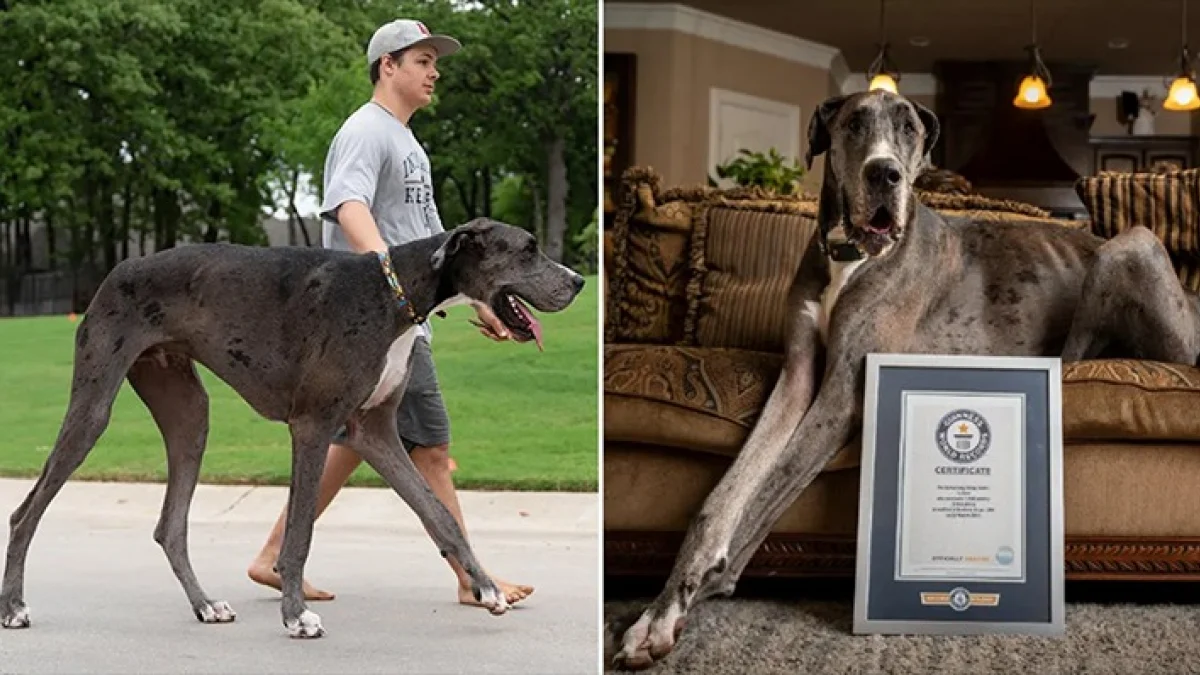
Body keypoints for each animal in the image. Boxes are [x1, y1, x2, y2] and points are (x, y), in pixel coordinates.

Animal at [0, 216, 580, 634]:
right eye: (528, 249)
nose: (577, 281)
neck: (395, 294)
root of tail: (118, 270)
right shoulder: (313, 426)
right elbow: (300, 530)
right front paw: (296, 615)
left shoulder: (374, 433)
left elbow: (439, 514)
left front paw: (487, 589)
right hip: (93, 407)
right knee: (27, 510)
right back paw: (15, 607)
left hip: (189, 414)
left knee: (171, 525)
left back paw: (205, 605)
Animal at [614, 90, 1200, 667]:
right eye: (853, 123)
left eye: (909, 129)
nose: (885, 173)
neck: (849, 256)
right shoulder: (797, 378)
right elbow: (724, 497)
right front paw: (661, 607)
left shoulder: (841, 395)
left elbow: (769, 490)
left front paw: (701, 590)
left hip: (1132, 242)